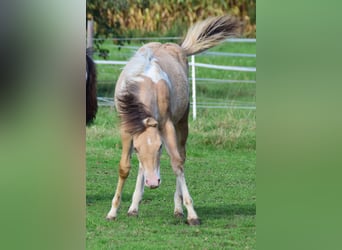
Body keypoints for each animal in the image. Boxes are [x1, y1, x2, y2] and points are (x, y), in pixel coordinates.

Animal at [105, 16, 239, 227]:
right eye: (136, 149)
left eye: (160, 147)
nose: (152, 183)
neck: (146, 82)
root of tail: (178, 48)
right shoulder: (127, 130)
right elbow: (125, 167)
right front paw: (113, 211)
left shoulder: (166, 125)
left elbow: (177, 164)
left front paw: (191, 213)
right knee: (143, 167)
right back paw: (134, 207)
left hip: (181, 124)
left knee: (181, 157)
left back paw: (178, 209)